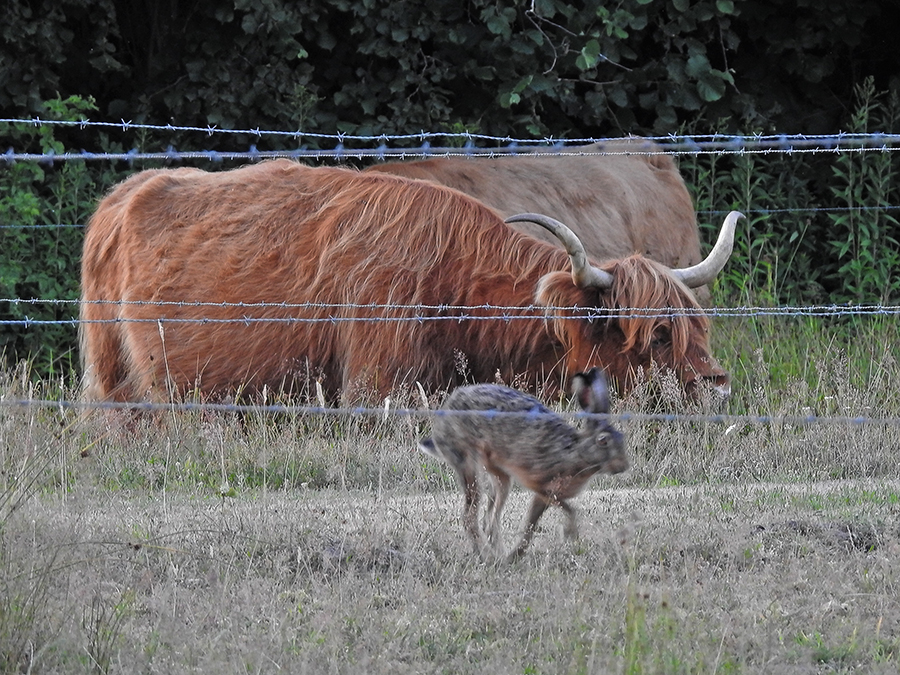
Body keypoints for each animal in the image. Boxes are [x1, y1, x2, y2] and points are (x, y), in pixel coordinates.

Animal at [79, 159, 739, 404]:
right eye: (656, 335)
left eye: (697, 324)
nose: (716, 385)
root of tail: (124, 192)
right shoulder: (374, 386)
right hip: (117, 380)